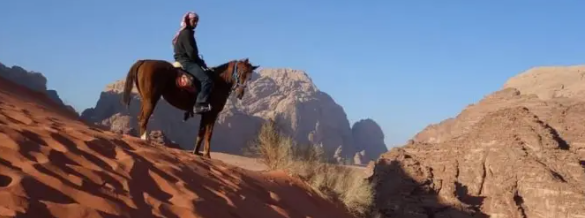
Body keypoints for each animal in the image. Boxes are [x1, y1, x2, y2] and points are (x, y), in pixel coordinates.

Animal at [120, 58, 258, 158]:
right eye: (240, 72)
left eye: (250, 76)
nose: (240, 94)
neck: (219, 82)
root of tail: (144, 61)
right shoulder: (212, 114)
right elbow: (208, 134)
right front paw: (207, 155)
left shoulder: (205, 114)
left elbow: (200, 134)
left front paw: (196, 153)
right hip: (151, 99)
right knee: (144, 118)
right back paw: (145, 140)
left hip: (145, 99)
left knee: (141, 117)